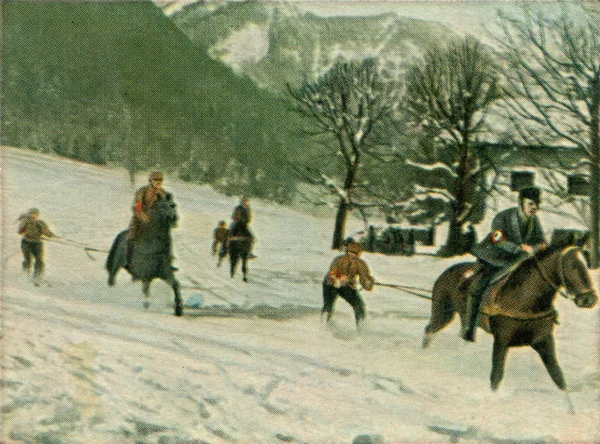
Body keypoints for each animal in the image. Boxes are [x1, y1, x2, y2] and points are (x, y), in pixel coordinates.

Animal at [422, 246, 596, 396]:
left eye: (586, 265)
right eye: (572, 266)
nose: (590, 299)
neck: (525, 300)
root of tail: (448, 271)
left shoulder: (544, 340)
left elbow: (557, 375)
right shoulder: (501, 341)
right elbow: (496, 375)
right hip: (443, 314)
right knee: (429, 329)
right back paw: (425, 353)